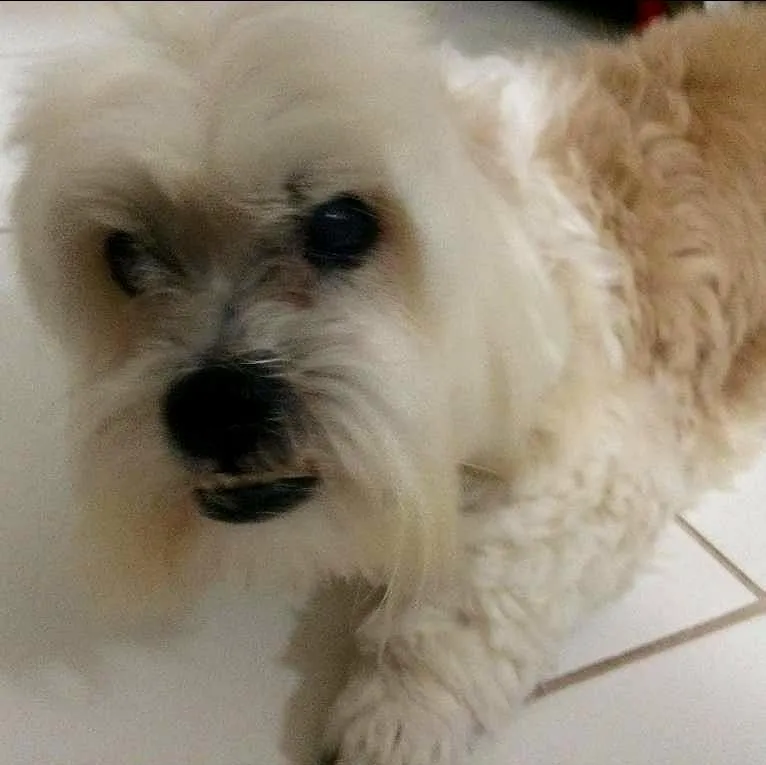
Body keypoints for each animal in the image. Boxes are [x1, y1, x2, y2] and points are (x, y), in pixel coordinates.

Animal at [11, 2, 766, 763]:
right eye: (124, 256)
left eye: (341, 225)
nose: (216, 407)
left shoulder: (598, 461)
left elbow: (478, 589)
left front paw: (403, 709)